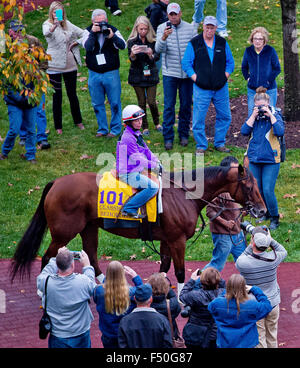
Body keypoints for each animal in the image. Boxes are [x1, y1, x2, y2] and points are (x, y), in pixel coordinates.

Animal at [11, 164, 264, 290]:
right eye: (249, 186)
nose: (262, 211)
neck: (183, 194)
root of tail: (56, 182)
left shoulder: (166, 240)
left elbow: (164, 267)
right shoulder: (177, 240)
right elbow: (180, 272)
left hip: (89, 227)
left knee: (91, 254)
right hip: (63, 232)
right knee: (47, 257)